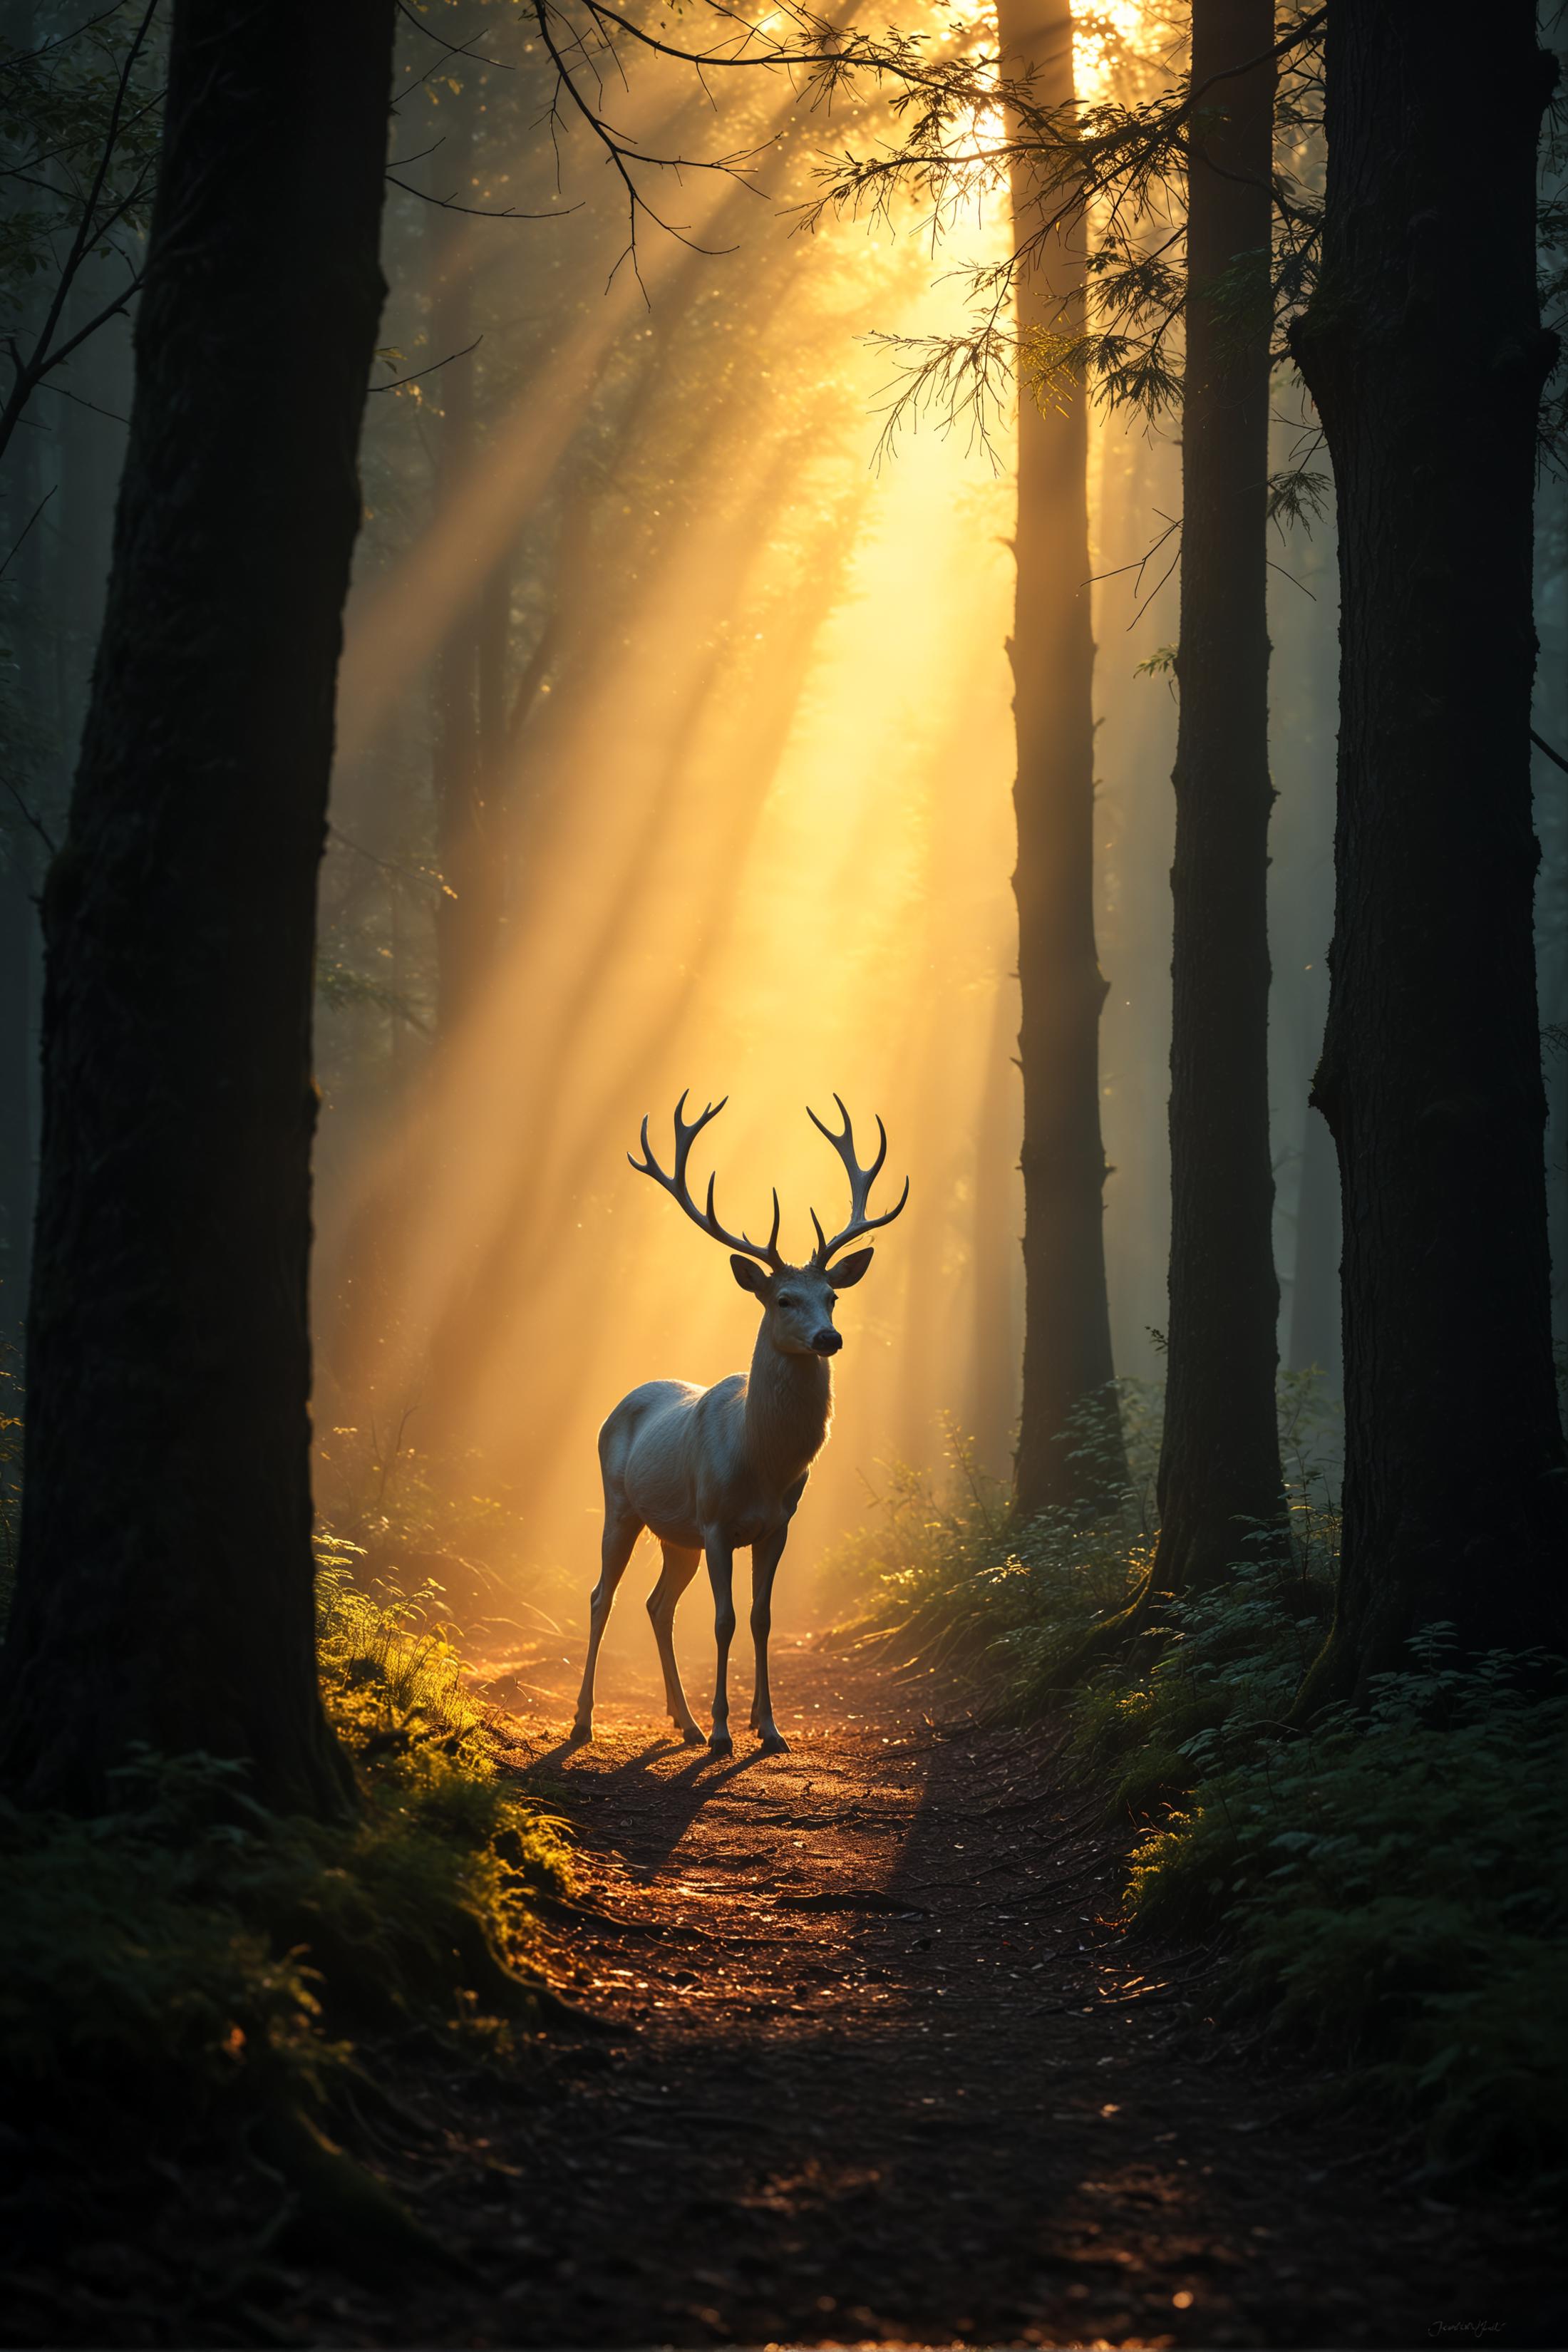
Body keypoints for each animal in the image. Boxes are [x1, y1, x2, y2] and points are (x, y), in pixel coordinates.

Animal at [566, 1091, 907, 1759]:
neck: (762, 1463)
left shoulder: (778, 1525)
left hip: (676, 1535)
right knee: (601, 1596)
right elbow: (723, 1621)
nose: (829, 1338)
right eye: (783, 1300)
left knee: (658, 1604)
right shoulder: (717, 1521)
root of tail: (623, 1400)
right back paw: (587, 1720)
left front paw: (768, 1727)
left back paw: (684, 1720)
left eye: (833, 1296)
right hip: (621, 1504)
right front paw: (727, 1730)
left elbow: (760, 1618)